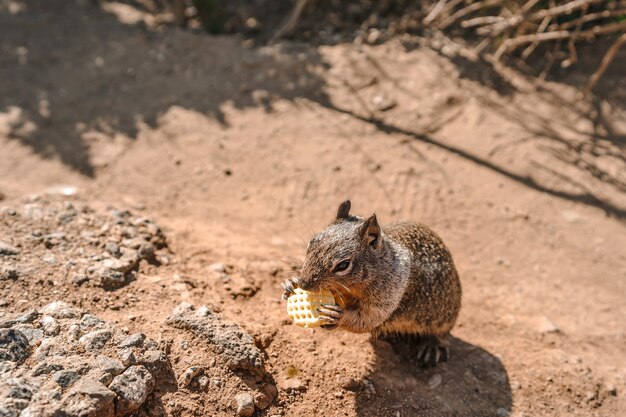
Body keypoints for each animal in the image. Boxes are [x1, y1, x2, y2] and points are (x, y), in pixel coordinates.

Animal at [280, 200, 460, 366]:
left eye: (343, 265)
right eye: (311, 243)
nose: (304, 284)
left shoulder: (388, 297)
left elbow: (367, 319)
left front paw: (339, 316)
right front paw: (291, 282)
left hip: (442, 317)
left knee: (440, 334)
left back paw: (431, 345)